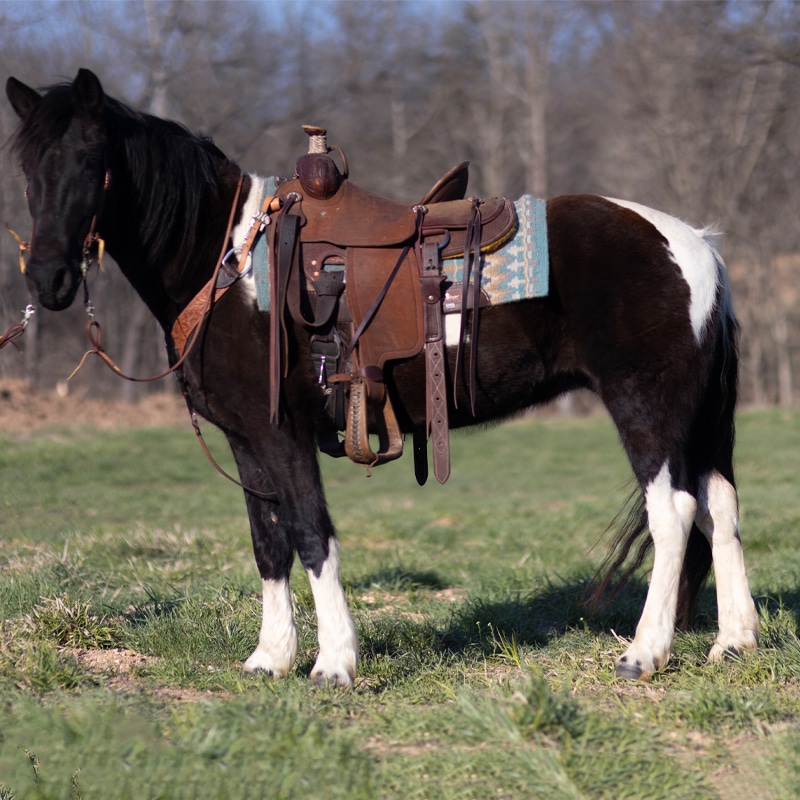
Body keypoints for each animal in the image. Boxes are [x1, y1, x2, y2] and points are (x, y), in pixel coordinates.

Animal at [4, 67, 756, 688]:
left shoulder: (282, 435)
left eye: (91, 161)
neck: (229, 264)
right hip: (695, 421)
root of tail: (697, 246)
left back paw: (644, 652)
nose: (47, 279)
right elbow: (268, 542)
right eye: (26, 166)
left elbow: (312, 533)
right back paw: (734, 642)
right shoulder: (246, 441)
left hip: (646, 407)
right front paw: (269, 658)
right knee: (718, 505)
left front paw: (334, 663)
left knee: (674, 512)